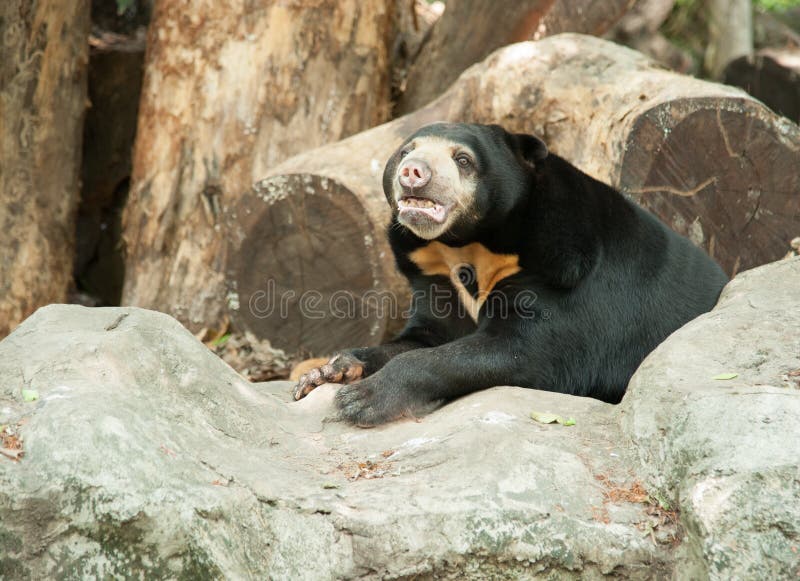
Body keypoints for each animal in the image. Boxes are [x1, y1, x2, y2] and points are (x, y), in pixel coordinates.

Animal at [293, 122, 729, 426]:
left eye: (463, 159)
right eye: (405, 151)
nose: (413, 171)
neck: (467, 244)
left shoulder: (564, 275)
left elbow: (522, 347)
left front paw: (361, 399)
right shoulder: (433, 276)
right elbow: (424, 337)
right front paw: (324, 372)